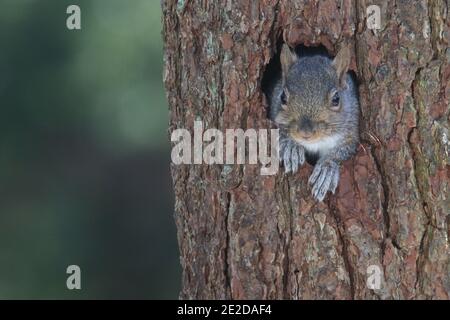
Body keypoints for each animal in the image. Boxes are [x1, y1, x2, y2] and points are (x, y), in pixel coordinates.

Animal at [268, 43, 360, 201]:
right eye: (282, 97)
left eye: (336, 99)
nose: (306, 132)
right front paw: (291, 147)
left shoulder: (351, 131)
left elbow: (344, 149)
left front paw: (327, 169)